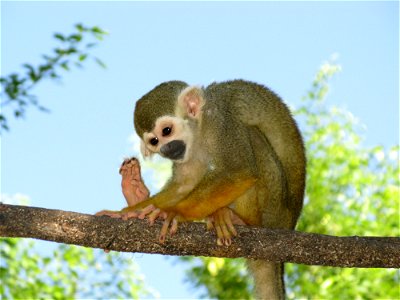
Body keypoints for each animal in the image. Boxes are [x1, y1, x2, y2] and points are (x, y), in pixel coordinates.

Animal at [97, 80, 306, 300]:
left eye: (166, 131)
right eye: (154, 142)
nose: (166, 150)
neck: (200, 128)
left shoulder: (222, 123)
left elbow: (240, 170)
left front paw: (172, 212)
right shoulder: (187, 150)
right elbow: (185, 184)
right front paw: (126, 213)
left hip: (274, 209)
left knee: (252, 136)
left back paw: (243, 220)